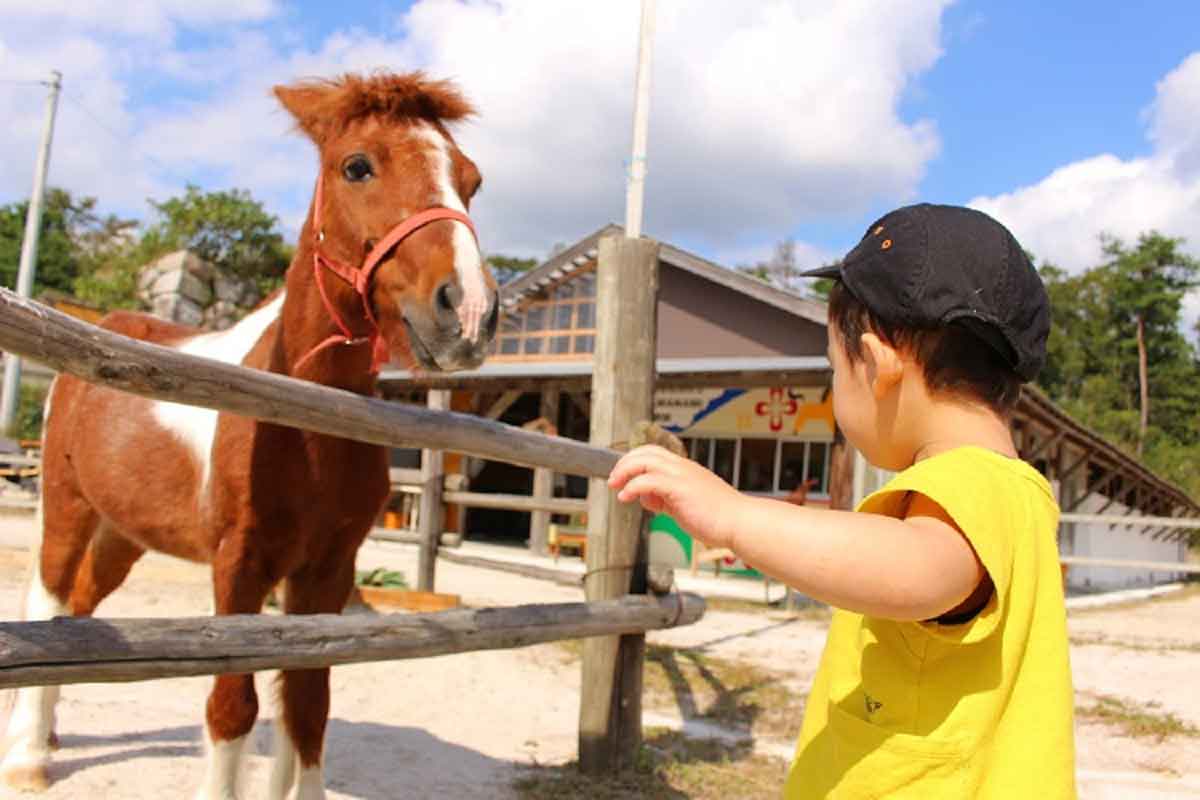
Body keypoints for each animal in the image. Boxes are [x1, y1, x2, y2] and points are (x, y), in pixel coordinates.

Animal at [0, 73, 496, 800]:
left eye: (471, 179)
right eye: (357, 166)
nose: (468, 312)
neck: (307, 422)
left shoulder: (326, 569)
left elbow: (307, 705)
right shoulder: (239, 563)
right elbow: (233, 705)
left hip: (122, 535)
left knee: (79, 614)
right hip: (66, 506)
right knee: (47, 601)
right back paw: (29, 755)